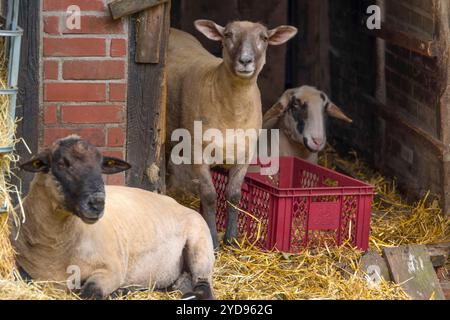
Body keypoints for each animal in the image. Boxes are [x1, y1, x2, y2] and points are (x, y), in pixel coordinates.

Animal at [9, 136, 214, 300]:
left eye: (101, 166)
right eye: (61, 164)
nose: (98, 203)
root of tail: (176, 202)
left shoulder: (111, 270)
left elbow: (90, 293)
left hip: (200, 248)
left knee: (204, 287)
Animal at [167, 20, 298, 248]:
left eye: (264, 38)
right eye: (228, 35)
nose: (245, 61)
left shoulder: (244, 155)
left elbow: (233, 195)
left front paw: (232, 238)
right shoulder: (198, 153)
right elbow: (210, 195)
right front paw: (213, 239)